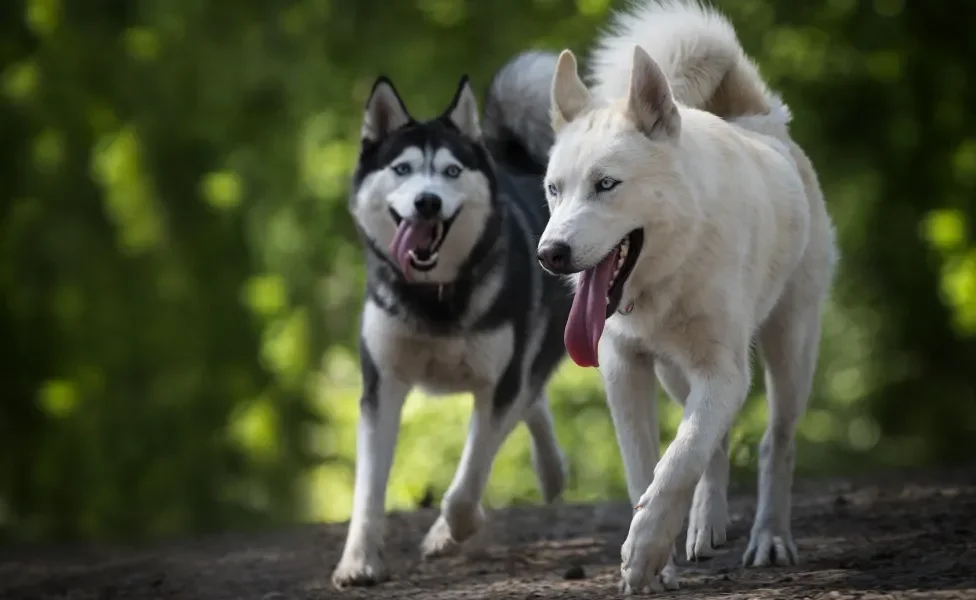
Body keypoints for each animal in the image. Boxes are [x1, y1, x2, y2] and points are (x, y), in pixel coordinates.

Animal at [332, 51, 568, 584]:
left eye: (452, 171)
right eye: (402, 169)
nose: (427, 201)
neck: (434, 296)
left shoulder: (498, 384)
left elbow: (467, 481)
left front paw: (453, 528)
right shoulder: (382, 385)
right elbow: (368, 490)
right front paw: (357, 561)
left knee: (521, 405)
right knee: (533, 404)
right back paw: (550, 472)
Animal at [524, 0, 836, 592]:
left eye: (606, 184)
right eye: (554, 189)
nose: (549, 254)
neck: (671, 272)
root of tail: (760, 122)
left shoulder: (723, 371)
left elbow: (678, 459)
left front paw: (644, 550)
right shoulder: (624, 369)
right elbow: (648, 465)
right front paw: (658, 562)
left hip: (790, 351)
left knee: (774, 443)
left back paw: (770, 537)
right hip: (674, 374)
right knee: (717, 438)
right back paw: (705, 524)